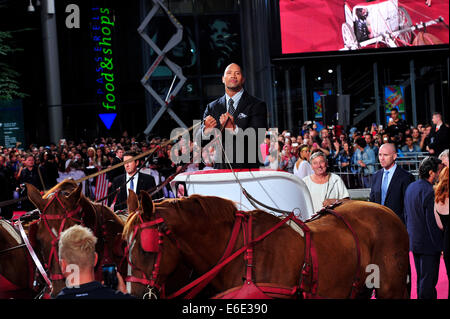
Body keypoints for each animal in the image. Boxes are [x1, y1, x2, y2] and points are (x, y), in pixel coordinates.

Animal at [123, 192, 412, 300]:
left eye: (146, 246)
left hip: (391, 288)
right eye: (126, 245)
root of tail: (387, 210)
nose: (134, 294)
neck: (241, 254)